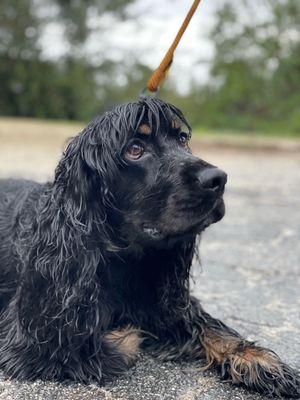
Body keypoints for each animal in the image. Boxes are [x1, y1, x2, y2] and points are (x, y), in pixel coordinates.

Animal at [0, 97, 298, 396]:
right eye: (134, 149)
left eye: (182, 139)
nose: (218, 179)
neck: (126, 259)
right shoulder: (38, 341)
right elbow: (118, 343)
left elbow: (202, 324)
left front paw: (258, 360)